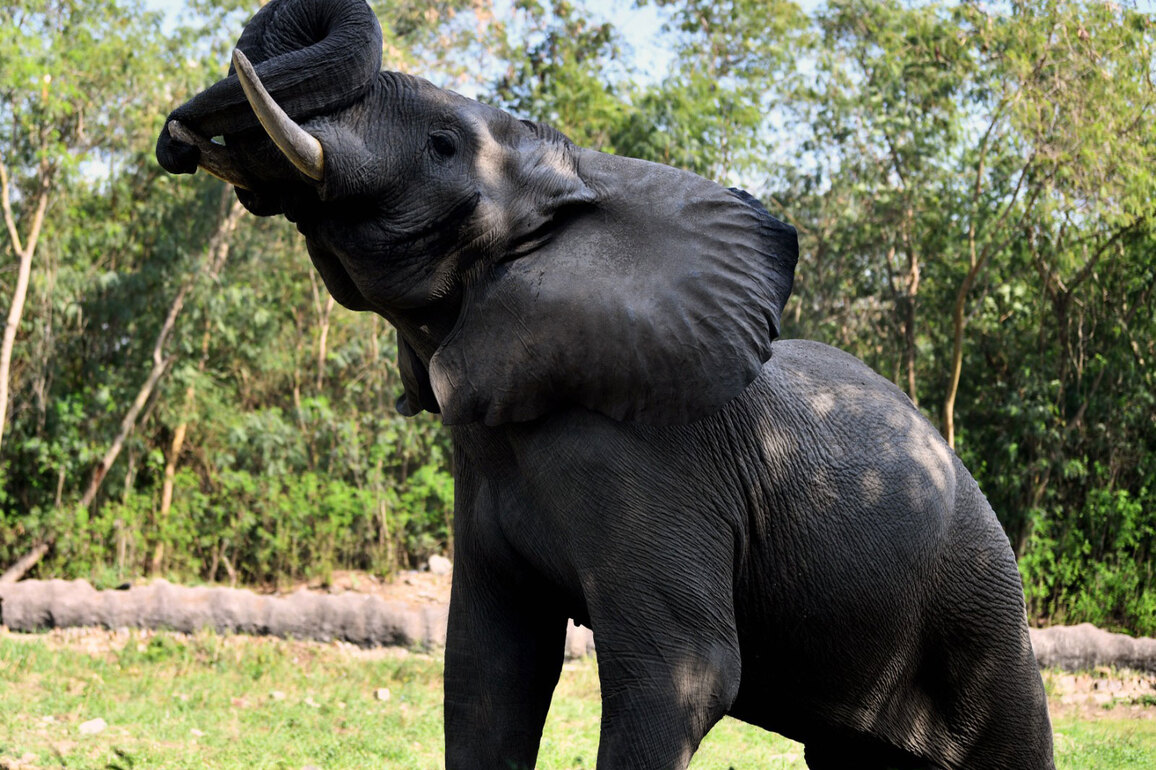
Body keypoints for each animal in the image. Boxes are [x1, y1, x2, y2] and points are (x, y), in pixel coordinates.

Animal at [155, 0, 1055, 767]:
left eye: (442, 145)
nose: (177, 142)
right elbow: (489, 672)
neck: (580, 184)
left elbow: (683, 670)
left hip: (983, 618)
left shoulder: (656, 467)